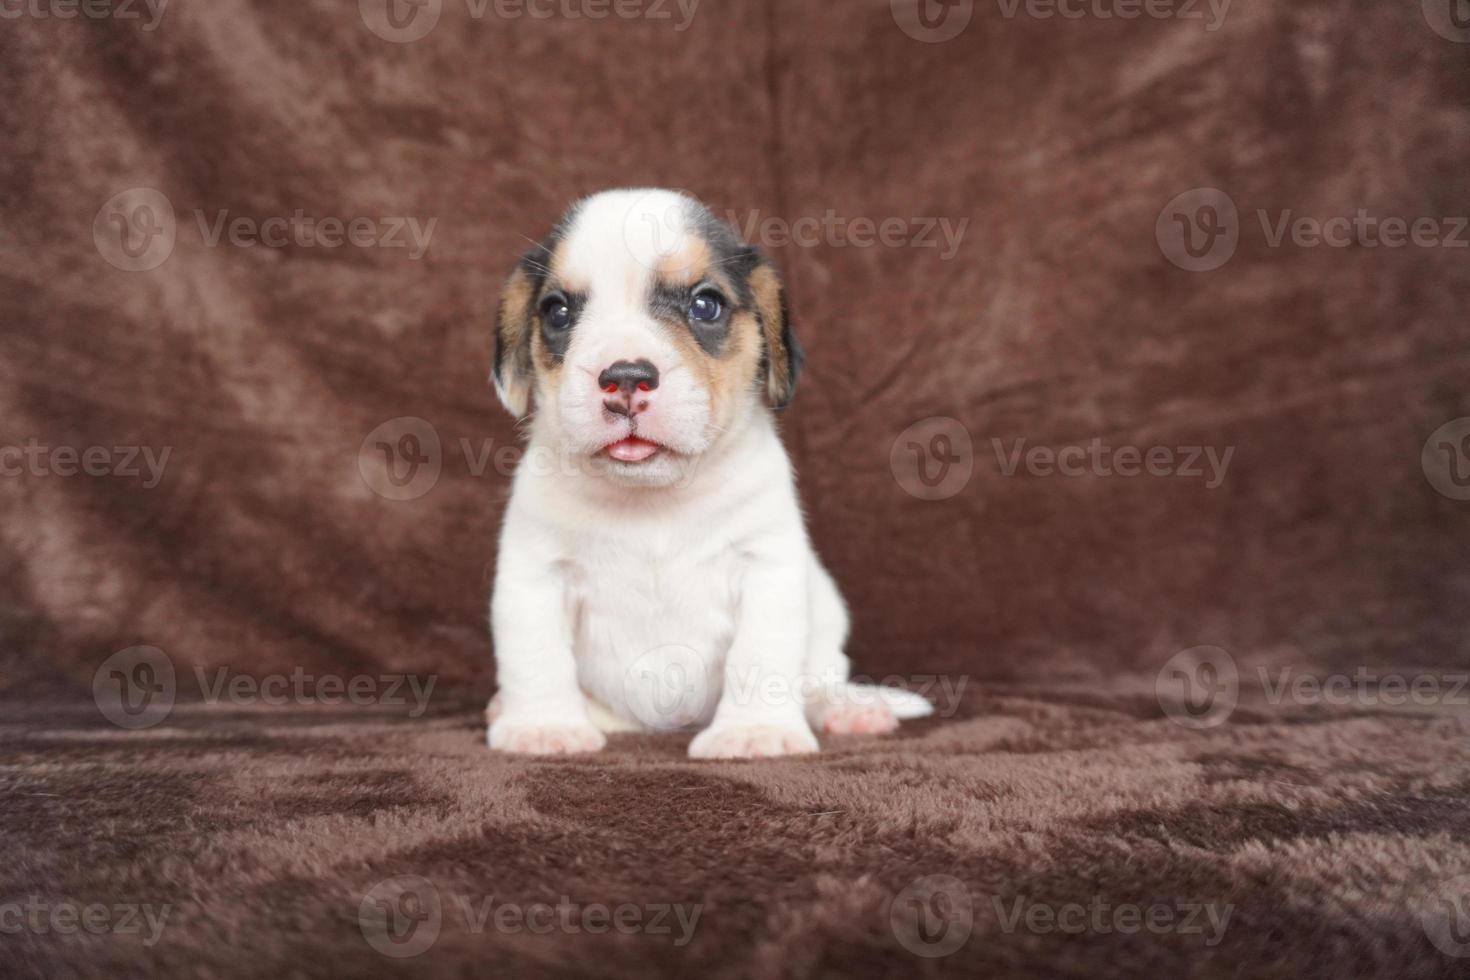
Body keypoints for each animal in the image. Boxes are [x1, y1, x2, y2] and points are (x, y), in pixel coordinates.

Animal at [485, 191, 929, 758]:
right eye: (558, 311)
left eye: (705, 304)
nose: (625, 377)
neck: (653, 500)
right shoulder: (534, 576)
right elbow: (535, 657)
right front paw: (544, 725)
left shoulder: (765, 569)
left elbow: (760, 657)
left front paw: (754, 731)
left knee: (819, 681)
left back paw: (846, 709)